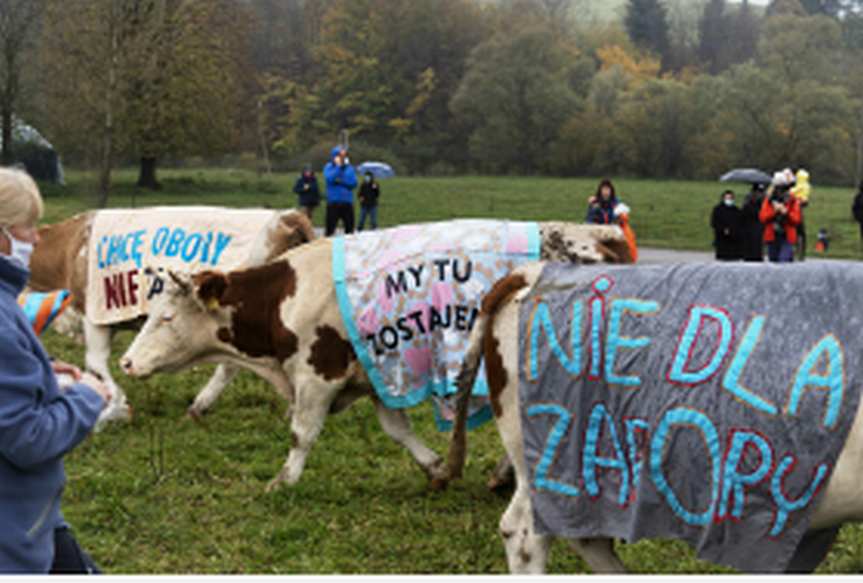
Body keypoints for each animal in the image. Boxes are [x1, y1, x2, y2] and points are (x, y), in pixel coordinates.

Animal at [27, 208, 318, 426]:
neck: (71, 246)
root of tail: (287, 217)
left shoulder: (94, 314)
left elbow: (95, 363)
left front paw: (117, 405)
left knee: (231, 365)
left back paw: (201, 404)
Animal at [118, 224, 636, 492]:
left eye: (165, 316)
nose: (125, 363)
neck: (287, 294)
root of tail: (597, 236)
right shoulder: (378, 373)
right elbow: (398, 430)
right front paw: (437, 468)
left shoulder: (317, 374)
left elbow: (301, 433)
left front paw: (283, 481)